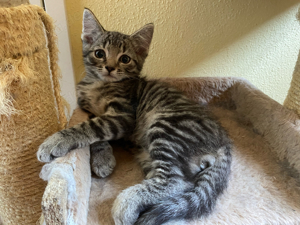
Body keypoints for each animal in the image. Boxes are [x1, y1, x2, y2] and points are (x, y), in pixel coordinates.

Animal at [35, 8, 232, 225]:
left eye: (125, 59)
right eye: (99, 53)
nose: (110, 67)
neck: (99, 84)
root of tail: (223, 138)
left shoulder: (123, 116)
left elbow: (91, 127)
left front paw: (55, 140)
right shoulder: (87, 109)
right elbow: (95, 133)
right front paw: (102, 158)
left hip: (167, 126)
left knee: (175, 180)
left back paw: (127, 202)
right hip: (147, 152)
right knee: (181, 182)